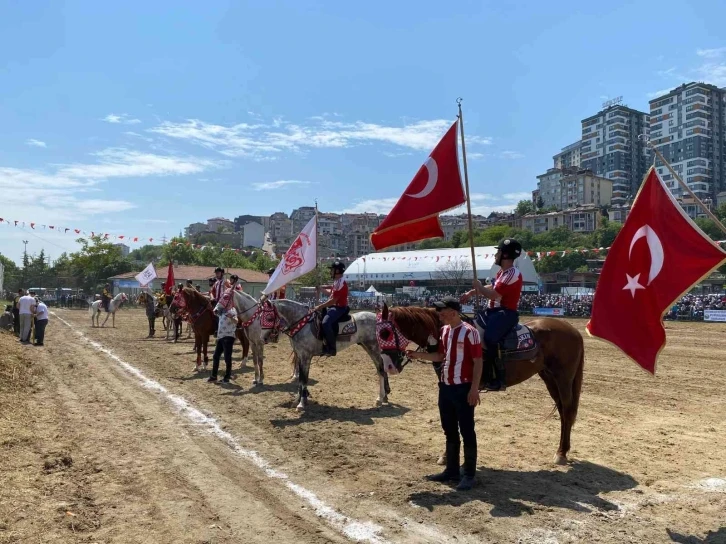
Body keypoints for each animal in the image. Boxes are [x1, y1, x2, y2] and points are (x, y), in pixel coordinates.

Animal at [378, 304, 588, 466]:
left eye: (385, 333)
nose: (388, 366)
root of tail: (572, 330)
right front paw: (446, 455)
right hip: (549, 377)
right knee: (562, 411)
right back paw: (562, 450)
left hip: (563, 378)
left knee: (567, 410)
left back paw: (561, 453)